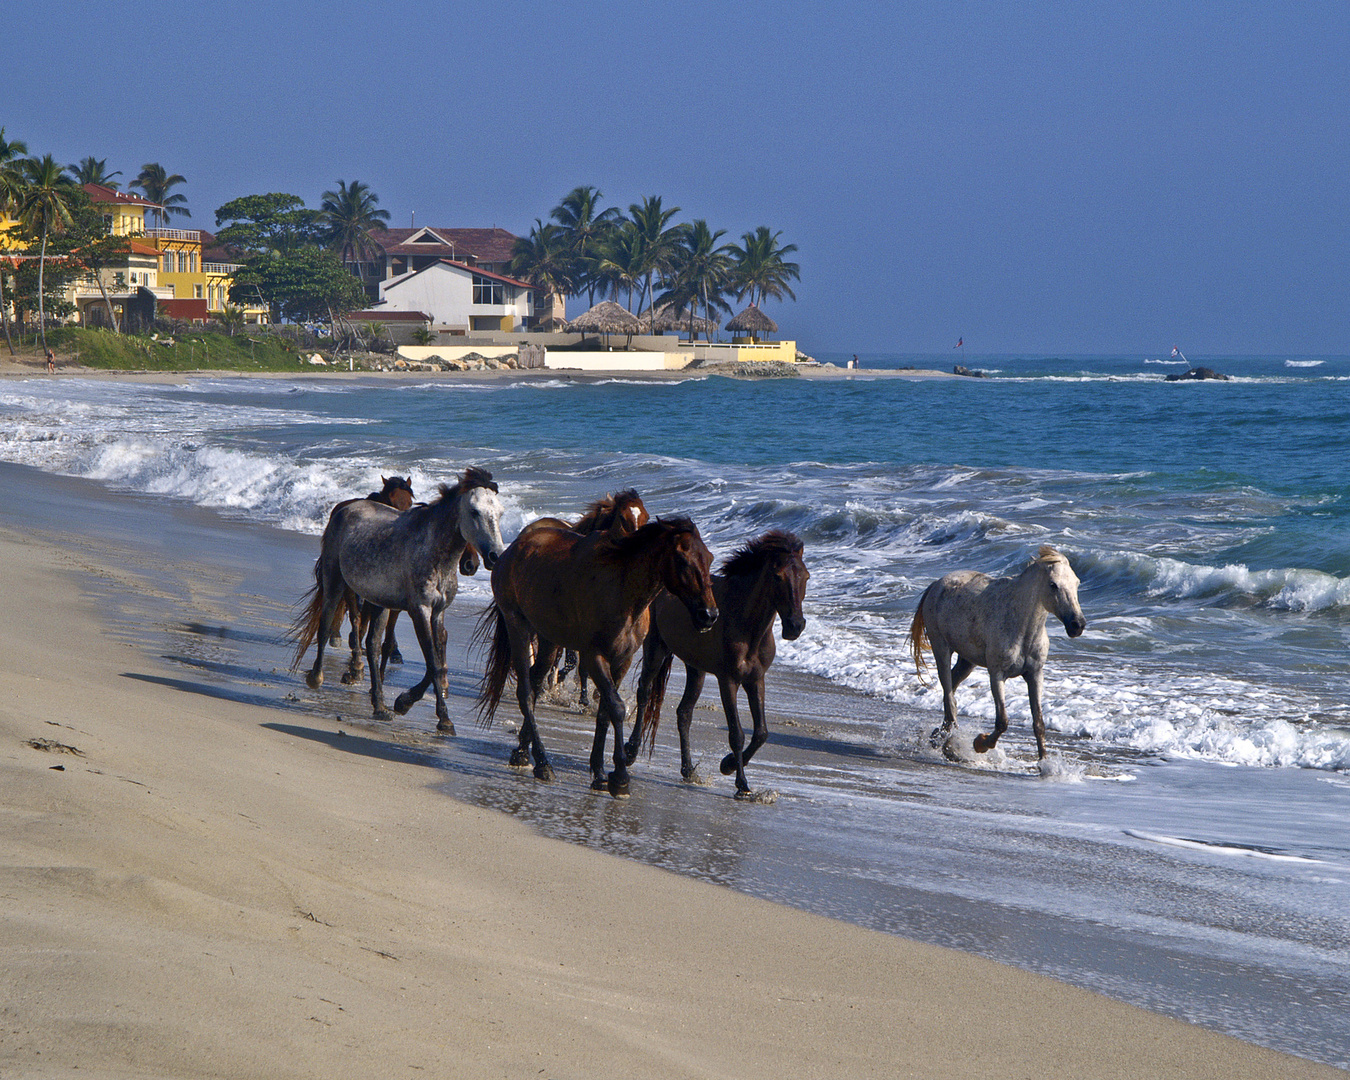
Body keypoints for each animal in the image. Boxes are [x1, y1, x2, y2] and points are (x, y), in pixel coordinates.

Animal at [294, 467, 507, 734]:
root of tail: (344, 509)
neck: (434, 552)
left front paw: (408, 704)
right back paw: (316, 677)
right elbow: (432, 663)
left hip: (379, 602)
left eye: (500, 513)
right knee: (326, 627)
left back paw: (379, 705)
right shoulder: (419, 610)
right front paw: (435, 715)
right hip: (336, 582)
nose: (494, 556)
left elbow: (438, 663)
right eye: (474, 511)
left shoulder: (437, 612)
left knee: (373, 645)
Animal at [480, 510, 723, 799]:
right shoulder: (594, 657)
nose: (708, 615)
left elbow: (605, 711)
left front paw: (598, 772)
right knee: (526, 692)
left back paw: (521, 752)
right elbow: (616, 708)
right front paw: (619, 777)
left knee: (537, 682)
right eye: (683, 560)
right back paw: (543, 763)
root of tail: (510, 550)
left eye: (709, 558)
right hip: (517, 625)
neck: (623, 592)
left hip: (549, 640)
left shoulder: (622, 661)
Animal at [623, 529, 804, 793]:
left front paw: (727, 765)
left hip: (695, 669)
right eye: (777, 576)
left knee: (684, 713)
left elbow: (761, 733)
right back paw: (630, 751)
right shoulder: (727, 680)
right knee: (644, 693)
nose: (795, 626)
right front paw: (741, 783)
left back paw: (688, 770)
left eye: (806, 576)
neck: (747, 625)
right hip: (656, 649)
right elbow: (736, 734)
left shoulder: (755, 680)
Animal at [907, 540, 1085, 761]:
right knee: (949, 697)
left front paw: (1045, 763)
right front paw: (980, 743)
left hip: (967, 661)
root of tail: (936, 584)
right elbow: (1002, 721)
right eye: (1053, 584)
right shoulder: (997, 674)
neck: (1022, 628)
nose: (1077, 625)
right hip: (941, 648)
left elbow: (1039, 723)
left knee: (951, 690)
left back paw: (938, 738)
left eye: (1077, 583)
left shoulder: (1035, 674)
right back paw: (949, 745)